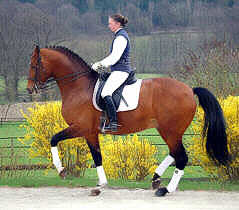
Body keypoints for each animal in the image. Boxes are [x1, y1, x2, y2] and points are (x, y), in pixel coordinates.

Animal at [26, 45, 230, 196]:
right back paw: (156, 178)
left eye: (34, 65)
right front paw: (100, 184)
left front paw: (62, 170)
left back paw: (166, 189)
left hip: (170, 130)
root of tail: (189, 89)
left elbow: (56, 140)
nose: (29, 89)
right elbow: (96, 156)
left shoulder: (83, 129)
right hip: (168, 130)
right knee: (174, 153)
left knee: (181, 156)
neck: (79, 87)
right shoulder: (89, 132)